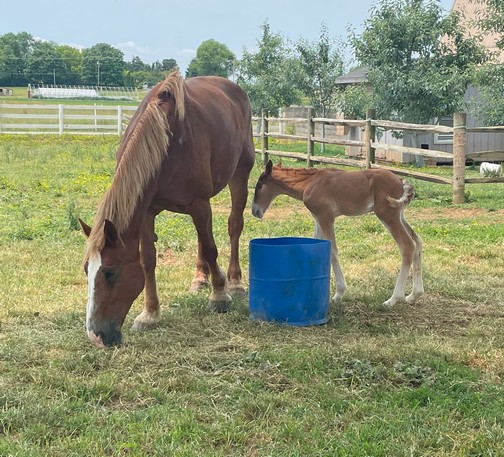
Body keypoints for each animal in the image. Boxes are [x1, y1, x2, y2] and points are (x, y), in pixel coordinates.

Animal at [80, 71, 254, 346]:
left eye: (109, 272)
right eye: (86, 270)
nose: (95, 336)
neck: (166, 141)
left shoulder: (198, 203)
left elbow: (211, 248)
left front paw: (219, 295)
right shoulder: (147, 211)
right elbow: (148, 260)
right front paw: (149, 314)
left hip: (240, 173)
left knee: (234, 226)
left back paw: (235, 282)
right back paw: (199, 279)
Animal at [254, 160, 424, 306]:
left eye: (260, 185)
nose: (255, 211)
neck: (309, 182)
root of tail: (401, 180)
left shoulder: (326, 217)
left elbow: (333, 252)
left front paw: (339, 293)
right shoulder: (317, 218)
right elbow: (315, 246)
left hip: (387, 215)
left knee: (407, 246)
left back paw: (393, 299)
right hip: (399, 216)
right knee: (417, 241)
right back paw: (414, 295)